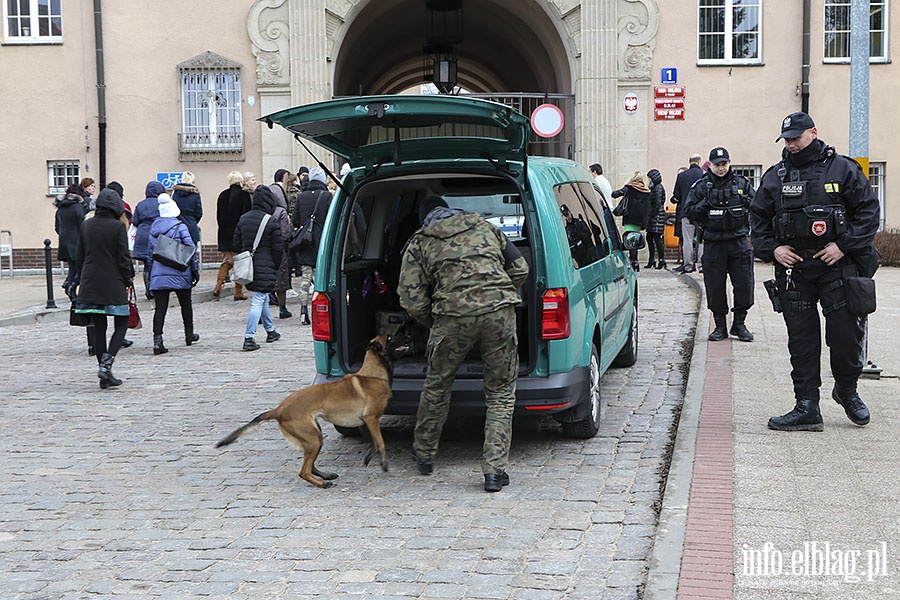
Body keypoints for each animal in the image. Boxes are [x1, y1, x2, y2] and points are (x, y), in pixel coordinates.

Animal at [216, 332, 414, 488]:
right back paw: (322, 483)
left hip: (314, 436)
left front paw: (368, 458)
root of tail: (278, 409)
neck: (372, 375)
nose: (409, 335)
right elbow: (381, 442)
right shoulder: (372, 419)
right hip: (313, 439)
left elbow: (373, 442)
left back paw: (325, 476)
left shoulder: (365, 422)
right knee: (303, 470)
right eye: (390, 338)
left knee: (309, 465)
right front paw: (384, 464)